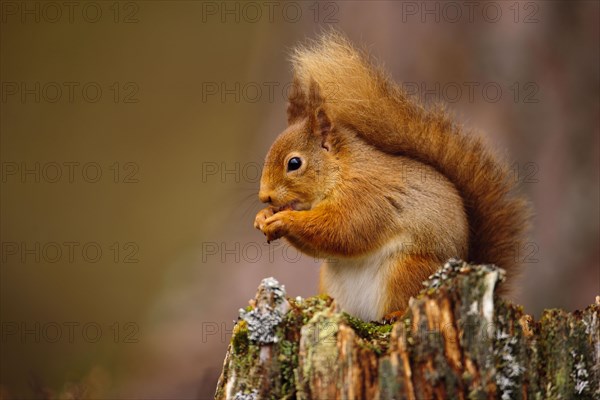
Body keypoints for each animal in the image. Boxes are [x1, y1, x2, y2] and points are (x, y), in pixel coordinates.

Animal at [253, 33, 528, 322]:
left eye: (294, 163)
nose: (264, 196)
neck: (341, 171)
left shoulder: (366, 197)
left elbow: (341, 230)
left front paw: (284, 220)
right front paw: (263, 217)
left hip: (406, 269)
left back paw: (395, 314)